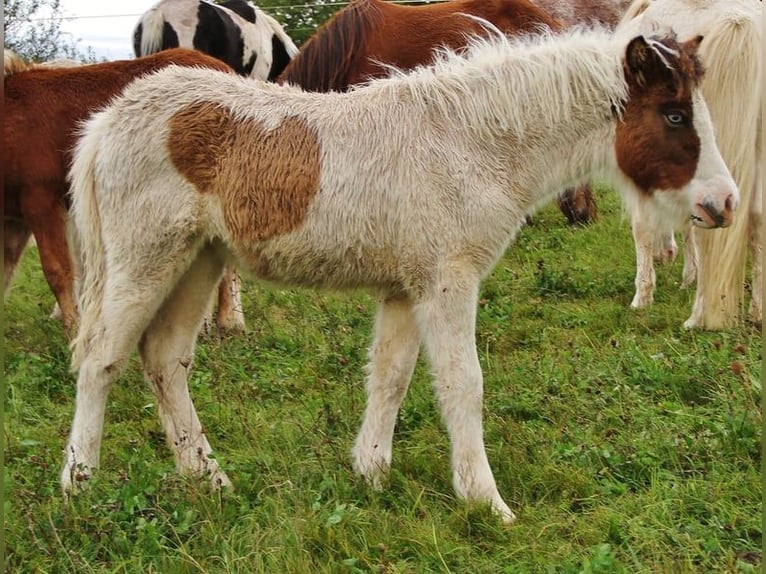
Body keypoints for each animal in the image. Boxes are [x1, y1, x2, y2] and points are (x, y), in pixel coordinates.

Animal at [61, 27, 737, 524]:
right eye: (675, 117)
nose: (724, 203)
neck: (472, 143)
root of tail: (104, 124)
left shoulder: (405, 289)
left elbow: (390, 376)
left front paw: (372, 473)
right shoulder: (447, 281)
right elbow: (463, 383)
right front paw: (486, 502)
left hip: (199, 260)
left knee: (164, 358)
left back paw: (209, 479)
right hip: (146, 258)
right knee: (99, 359)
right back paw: (79, 487)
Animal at [618, 0, 761, 329]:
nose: (667, 253)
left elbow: (642, 226)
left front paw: (642, 297)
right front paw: (688, 276)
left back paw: (698, 317)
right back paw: (758, 312)